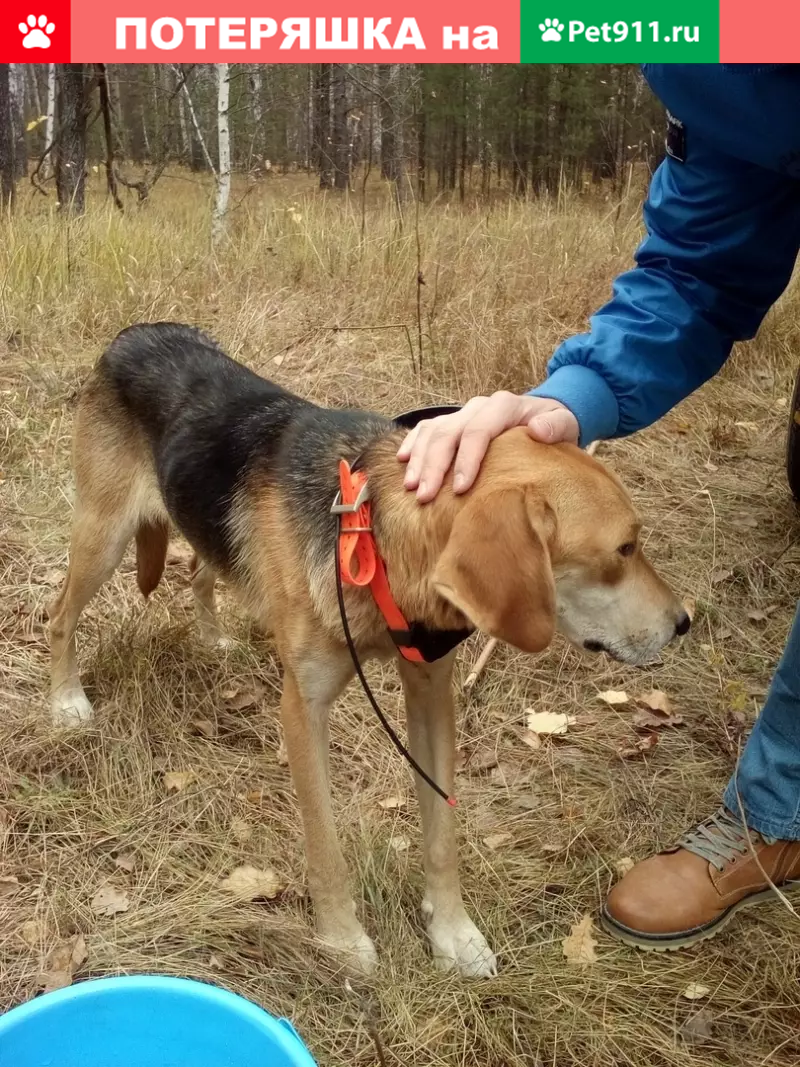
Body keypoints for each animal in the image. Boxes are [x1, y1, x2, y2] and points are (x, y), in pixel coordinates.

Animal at [49, 322, 690, 977]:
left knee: (200, 572)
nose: (683, 623)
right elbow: (325, 846)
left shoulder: (431, 696)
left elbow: (442, 836)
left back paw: (212, 637)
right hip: (103, 538)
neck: (375, 539)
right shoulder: (302, 711)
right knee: (59, 615)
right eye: (624, 549)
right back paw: (67, 700)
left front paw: (452, 932)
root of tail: (135, 334)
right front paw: (340, 939)